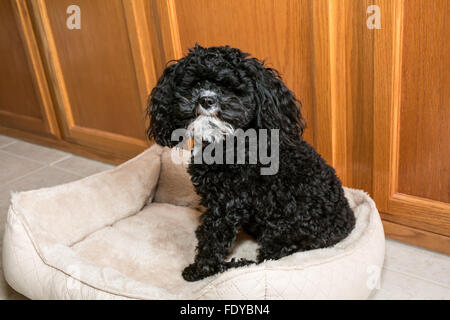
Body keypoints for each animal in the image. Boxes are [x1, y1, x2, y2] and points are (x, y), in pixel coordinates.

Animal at [146, 44, 354, 280]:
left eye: (230, 88)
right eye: (196, 83)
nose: (206, 100)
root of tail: (347, 224)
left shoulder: (225, 205)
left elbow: (212, 239)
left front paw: (199, 270)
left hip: (282, 234)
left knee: (262, 261)